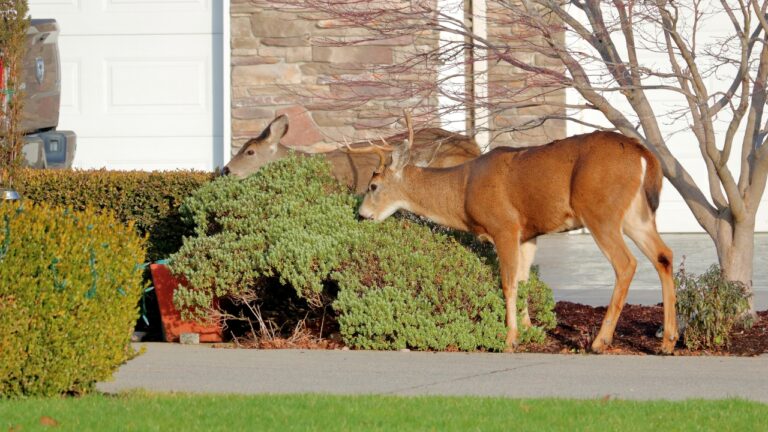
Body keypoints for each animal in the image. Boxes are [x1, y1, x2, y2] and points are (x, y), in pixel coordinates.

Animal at [358, 113, 678, 354]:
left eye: (373, 186)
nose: (362, 214)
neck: (461, 191)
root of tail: (642, 153)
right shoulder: (528, 234)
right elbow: (524, 280)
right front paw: (529, 330)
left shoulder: (505, 226)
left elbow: (508, 283)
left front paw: (509, 339)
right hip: (637, 215)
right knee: (664, 255)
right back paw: (668, 341)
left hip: (601, 211)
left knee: (626, 263)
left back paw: (601, 342)